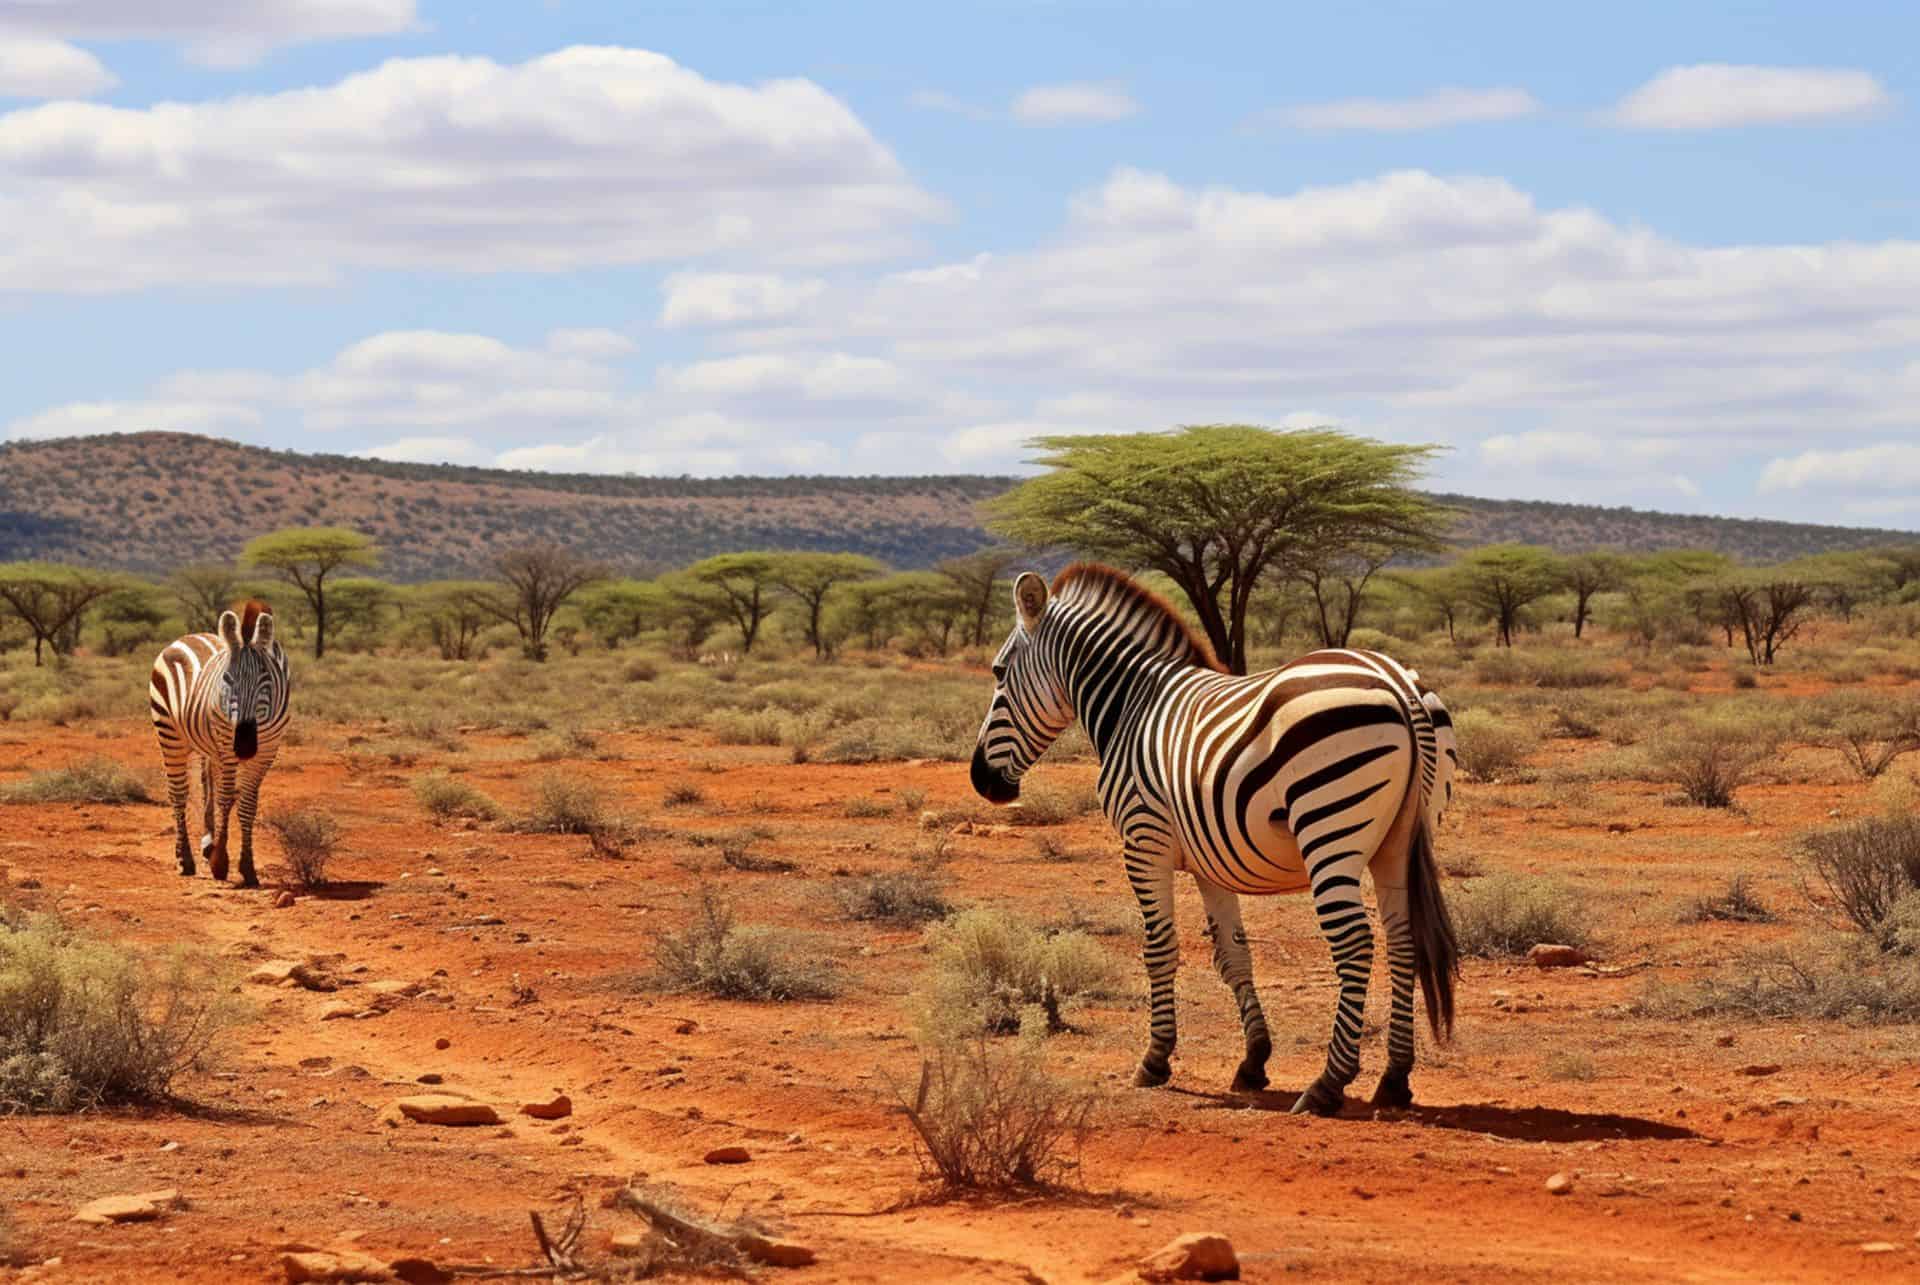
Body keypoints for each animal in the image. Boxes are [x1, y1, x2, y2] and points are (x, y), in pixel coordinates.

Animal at [147, 599, 289, 887]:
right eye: (226, 679)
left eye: (266, 680)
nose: (244, 745)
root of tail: (188, 636)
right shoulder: (227, 744)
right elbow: (226, 799)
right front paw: (220, 862)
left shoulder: (267, 751)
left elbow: (246, 805)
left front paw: (247, 866)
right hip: (170, 734)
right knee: (179, 793)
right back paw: (185, 858)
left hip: (209, 746)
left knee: (206, 786)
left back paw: (205, 844)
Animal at [967, 564, 1459, 1114]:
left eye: (997, 672)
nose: (981, 779)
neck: (1132, 705)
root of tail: (1398, 683)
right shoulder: (1212, 859)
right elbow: (1233, 953)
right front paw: (1254, 1060)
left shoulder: (1144, 841)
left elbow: (1159, 947)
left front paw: (1155, 1059)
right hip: (1399, 842)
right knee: (1403, 941)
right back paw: (1394, 1078)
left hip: (1329, 830)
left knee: (1355, 942)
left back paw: (1328, 1084)